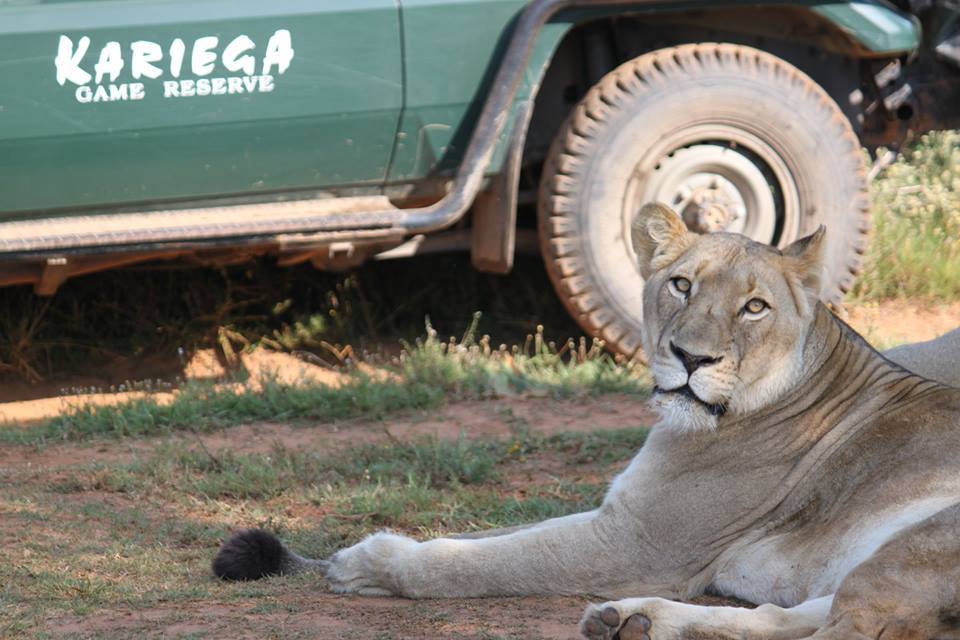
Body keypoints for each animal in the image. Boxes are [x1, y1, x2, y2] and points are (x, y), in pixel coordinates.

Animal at [212, 204, 960, 640]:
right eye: (681, 285)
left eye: (754, 307)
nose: (691, 358)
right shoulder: (620, 515)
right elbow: (492, 534)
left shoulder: (636, 543)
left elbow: (498, 558)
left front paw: (371, 565)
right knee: (792, 619)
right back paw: (632, 620)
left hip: (909, 550)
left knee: (841, 631)